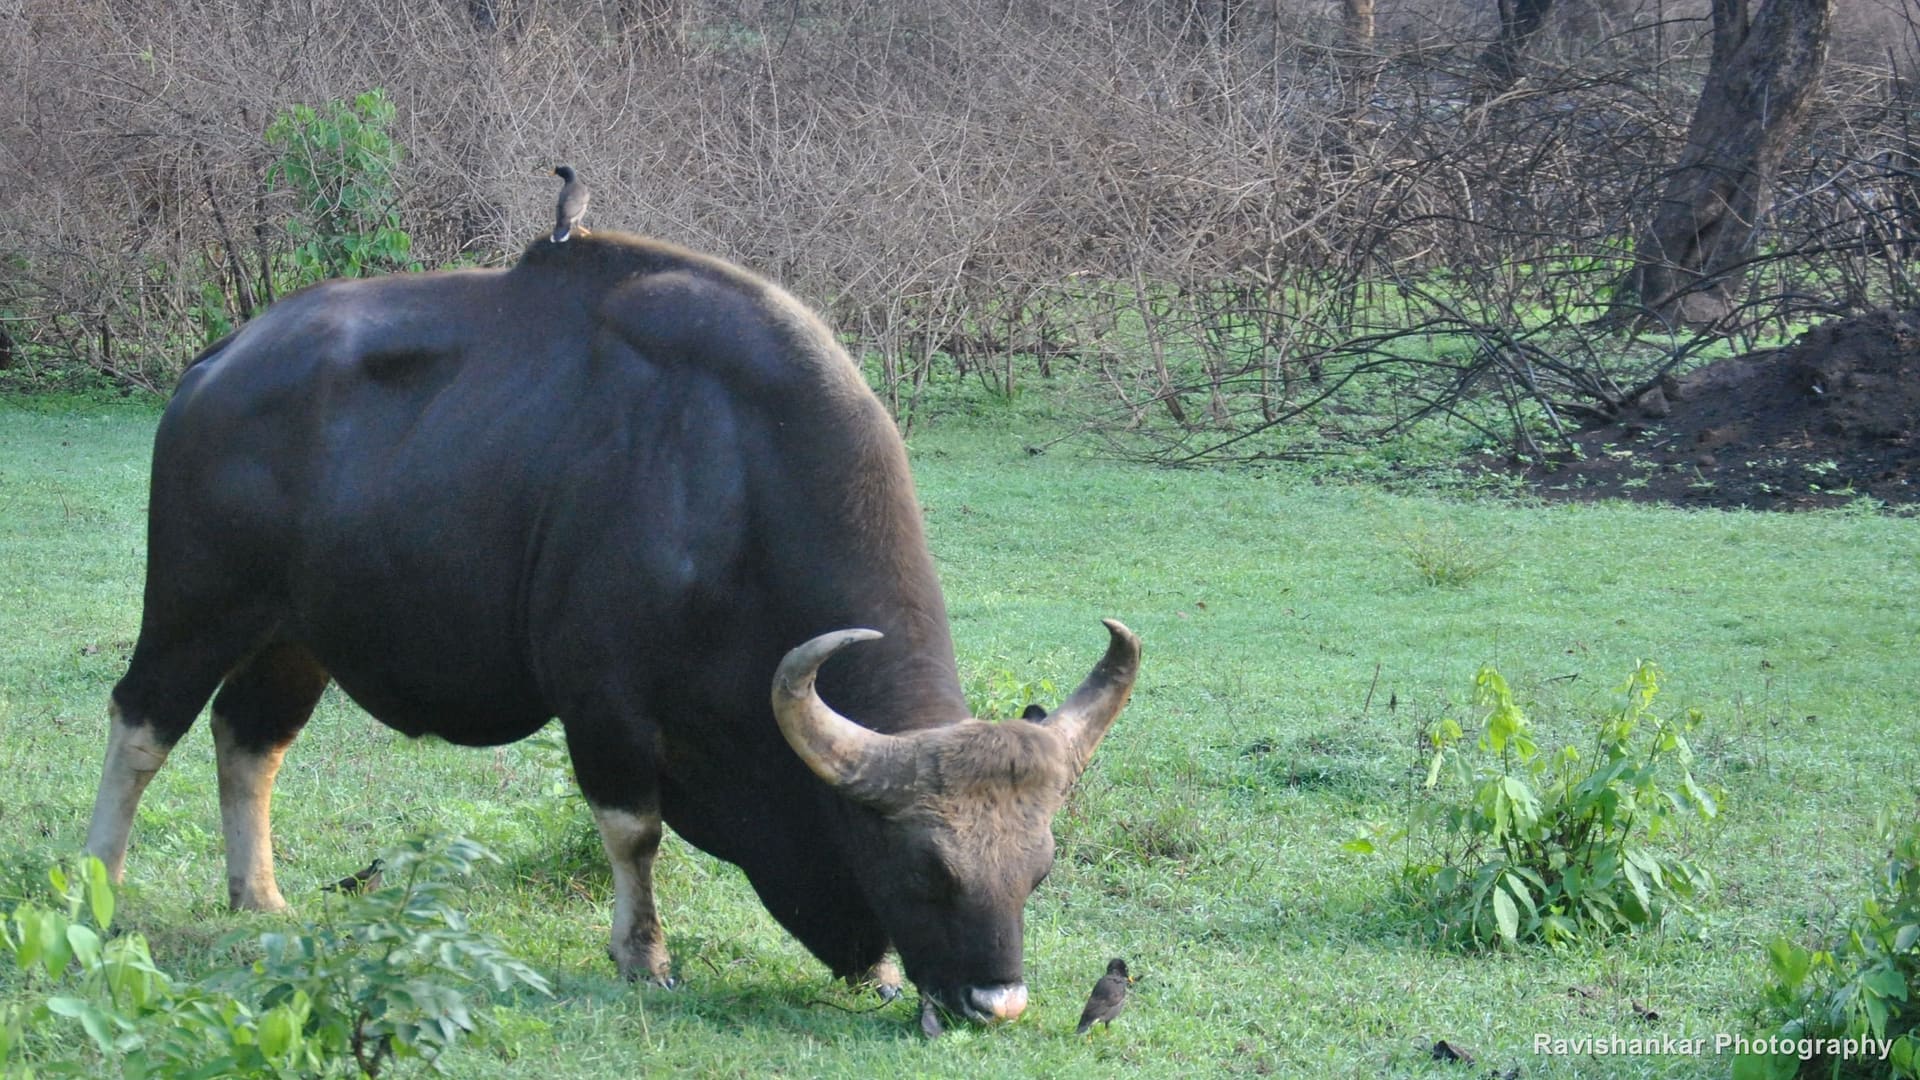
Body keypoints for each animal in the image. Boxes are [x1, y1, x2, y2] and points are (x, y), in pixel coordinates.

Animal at [81, 231, 1140, 1029]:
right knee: (141, 723)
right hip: (195, 605)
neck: (729, 478)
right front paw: (645, 957)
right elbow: (636, 832)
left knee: (249, 739)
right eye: (925, 870)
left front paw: (877, 971)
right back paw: (97, 884)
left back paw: (257, 896)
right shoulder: (602, 704)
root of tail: (217, 363)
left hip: (296, 635)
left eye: (1038, 871)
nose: (995, 1002)